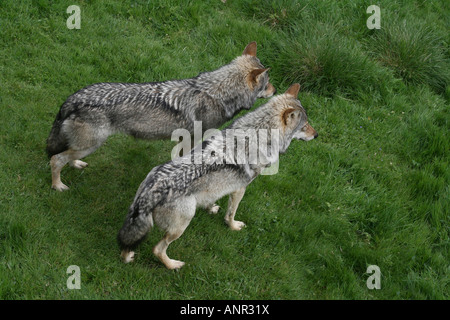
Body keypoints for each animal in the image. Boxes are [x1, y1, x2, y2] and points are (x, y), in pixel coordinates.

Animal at [47, 40, 276, 190]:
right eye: (268, 83)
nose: (275, 91)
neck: (216, 93)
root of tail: (73, 99)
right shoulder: (191, 140)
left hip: (85, 146)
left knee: (68, 156)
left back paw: (76, 165)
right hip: (91, 145)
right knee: (56, 159)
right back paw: (58, 186)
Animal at [118, 84, 318, 268]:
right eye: (305, 126)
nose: (316, 135)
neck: (259, 129)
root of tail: (150, 192)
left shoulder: (218, 187)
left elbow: (212, 199)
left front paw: (211, 207)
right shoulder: (240, 188)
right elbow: (231, 214)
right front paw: (233, 226)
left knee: (126, 245)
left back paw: (128, 257)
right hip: (182, 225)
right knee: (157, 249)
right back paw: (173, 265)